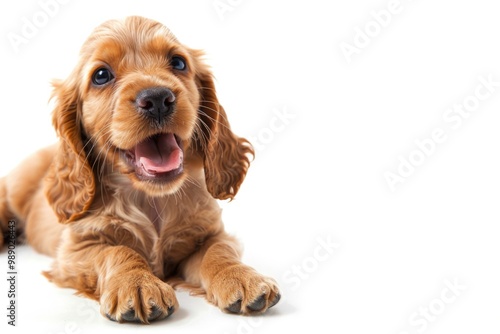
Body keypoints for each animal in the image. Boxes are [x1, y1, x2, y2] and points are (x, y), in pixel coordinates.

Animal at [0, 15, 282, 324]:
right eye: (101, 75)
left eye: (178, 62)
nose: (158, 98)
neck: (151, 198)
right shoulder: (76, 250)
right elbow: (117, 250)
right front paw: (136, 284)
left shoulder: (210, 232)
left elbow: (218, 251)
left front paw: (241, 277)